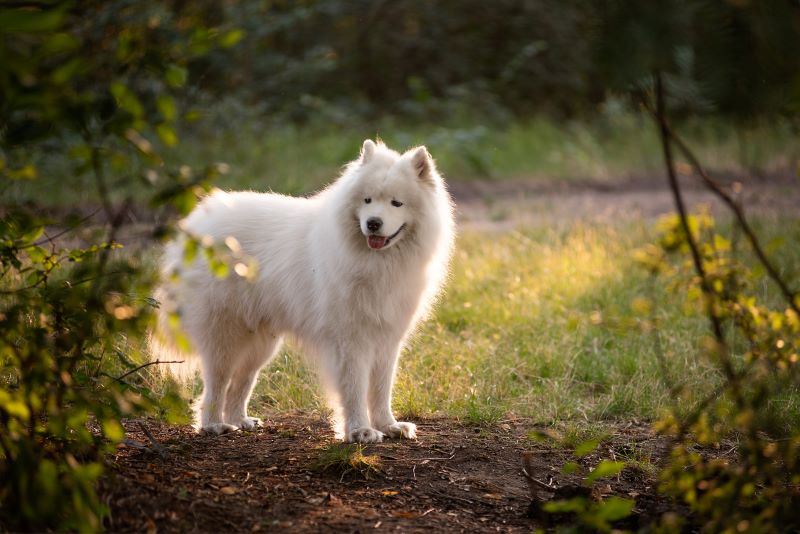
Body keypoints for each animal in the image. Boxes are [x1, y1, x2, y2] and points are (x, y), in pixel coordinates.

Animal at [155, 141, 456, 444]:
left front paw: (389, 425)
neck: (377, 262)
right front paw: (359, 430)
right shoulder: (351, 340)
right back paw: (214, 425)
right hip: (225, 336)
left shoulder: (387, 339)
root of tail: (196, 226)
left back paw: (240, 420)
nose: (373, 223)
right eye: (367, 200)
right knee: (216, 385)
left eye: (397, 203)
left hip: (260, 343)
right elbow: (355, 390)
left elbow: (381, 389)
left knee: (241, 383)